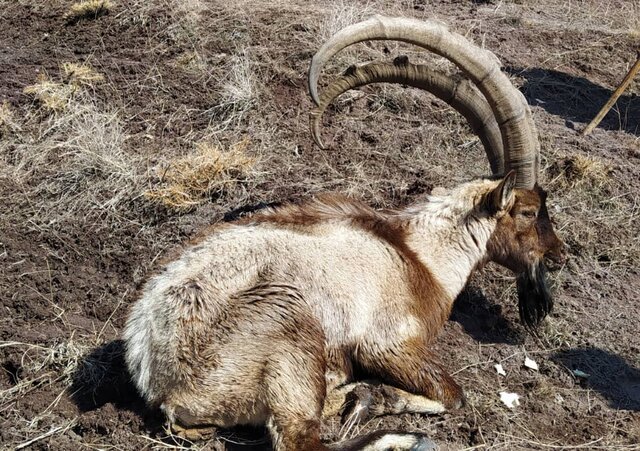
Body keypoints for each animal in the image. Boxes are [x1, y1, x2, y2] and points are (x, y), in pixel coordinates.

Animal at [125, 15, 564, 451]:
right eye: (528, 212)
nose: (558, 255)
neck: (420, 257)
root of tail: (159, 379)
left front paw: (364, 397)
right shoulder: (388, 344)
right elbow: (452, 394)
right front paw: (378, 399)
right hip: (290, 329)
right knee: (301, 438)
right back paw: (403, 433)